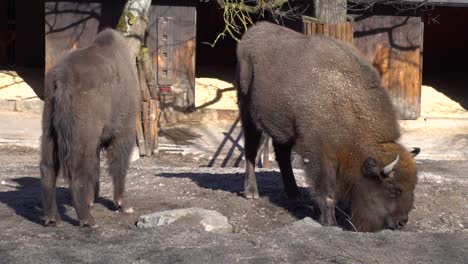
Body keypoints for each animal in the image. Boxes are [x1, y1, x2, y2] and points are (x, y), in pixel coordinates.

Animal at [40, 28, 137, 227]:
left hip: (49, 132)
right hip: (82, 136)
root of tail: (61, 77)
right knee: (77, 176)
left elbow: (96, 167)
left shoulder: (98, 141)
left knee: (48, 169)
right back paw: (88, 220)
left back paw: (53, 218)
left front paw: (92, 199)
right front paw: (123, 205)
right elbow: (119, 166)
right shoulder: (124, 132)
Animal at [238, 21, 420, 232]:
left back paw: (293, 193)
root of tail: (252, 32)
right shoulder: (321, 155)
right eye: (392, 190)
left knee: (281, 155)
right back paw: (251, 192)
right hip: (248, 115)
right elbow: (327, 191)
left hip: (283, 128)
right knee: (250, 150)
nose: (401, 222)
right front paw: (330, 223)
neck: (347, 104)